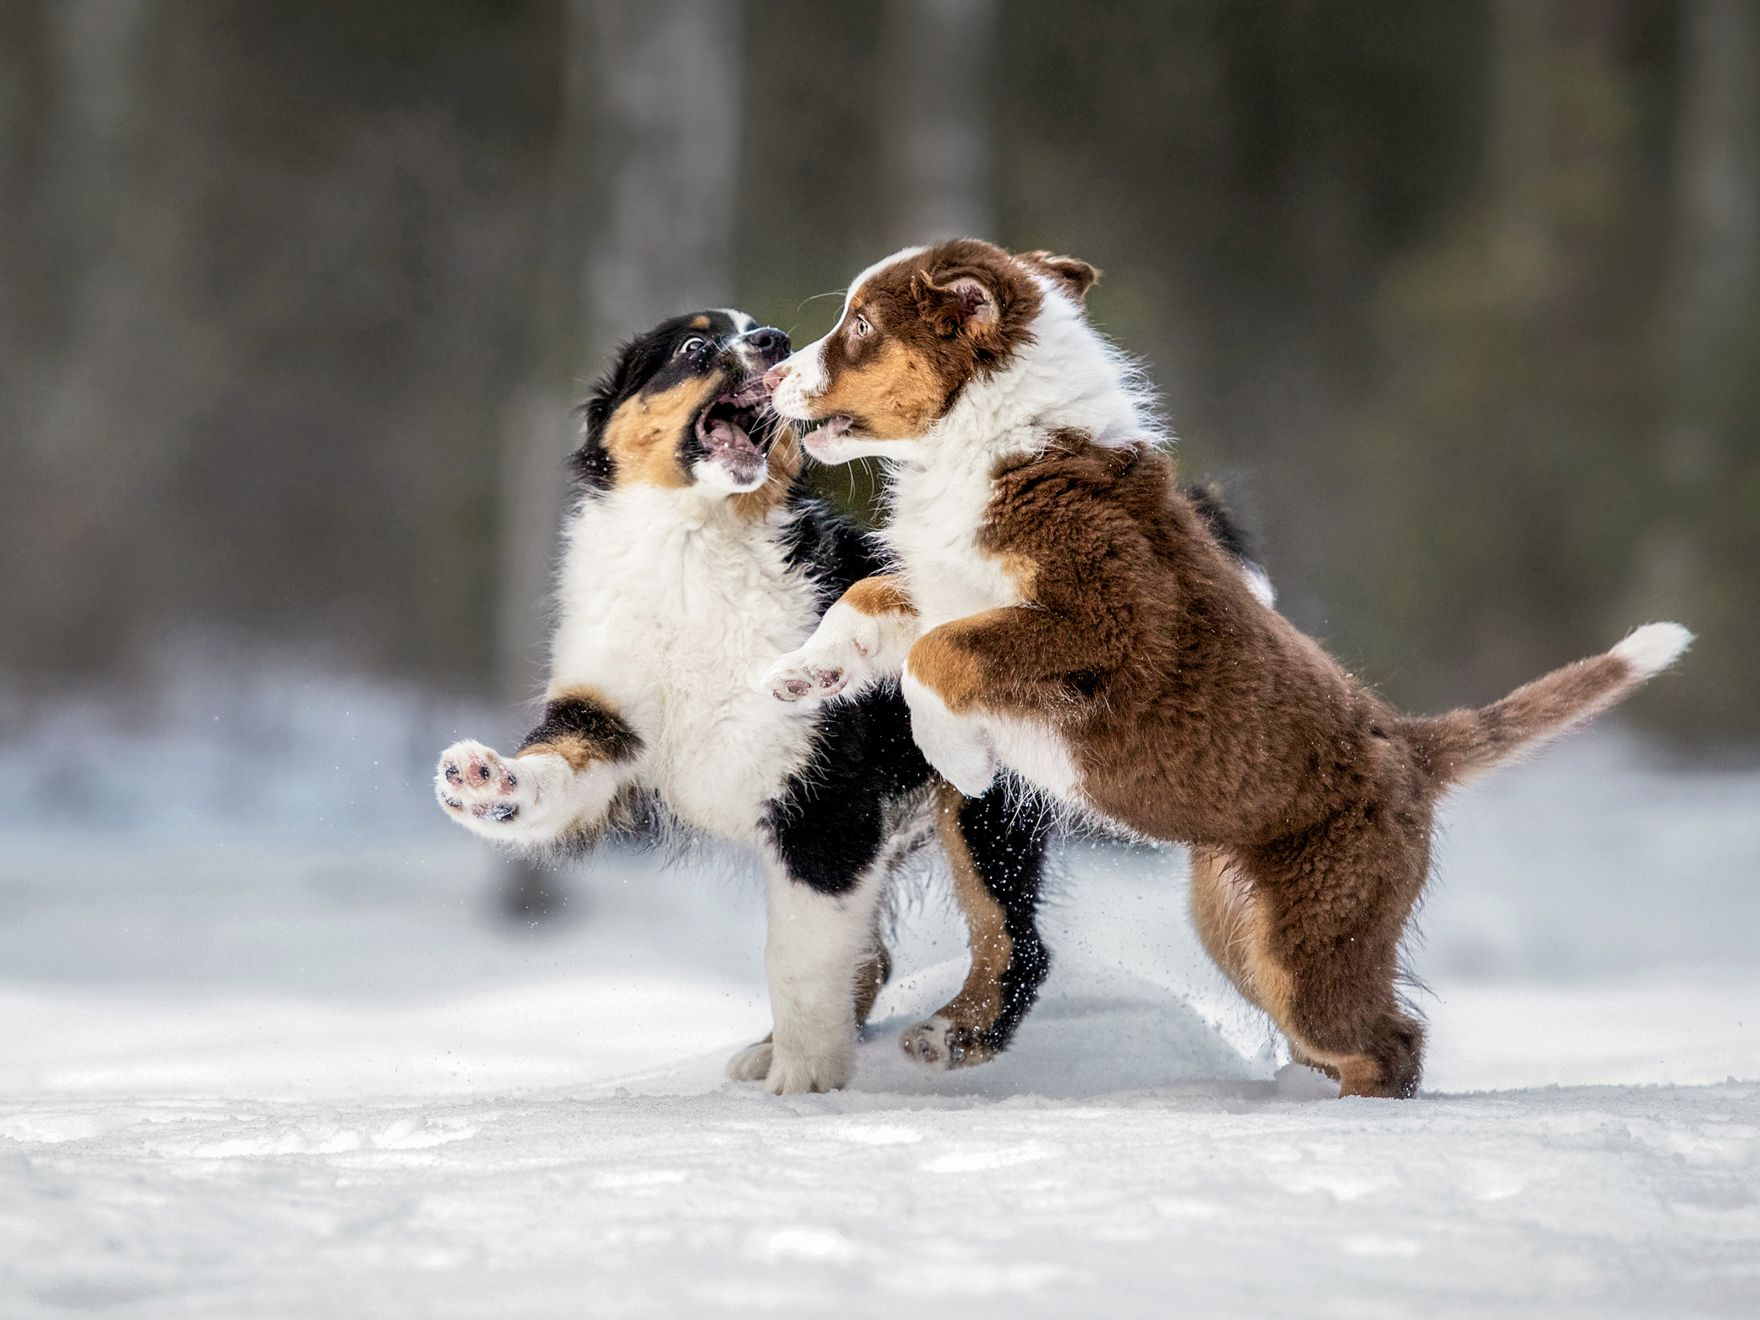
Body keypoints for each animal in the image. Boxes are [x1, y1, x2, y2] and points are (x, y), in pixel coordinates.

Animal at [760, 242, 1689, 1098]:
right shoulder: (940, 585)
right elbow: (871, 604)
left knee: (1390, 1042)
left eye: (862, 327)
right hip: (1238, 921)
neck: (1000, 442)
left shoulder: (1111, 621)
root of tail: (1411, 748)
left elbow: (937, 657)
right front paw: (796, 678)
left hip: (1314, 931)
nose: (770, 373)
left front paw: (961, 758)